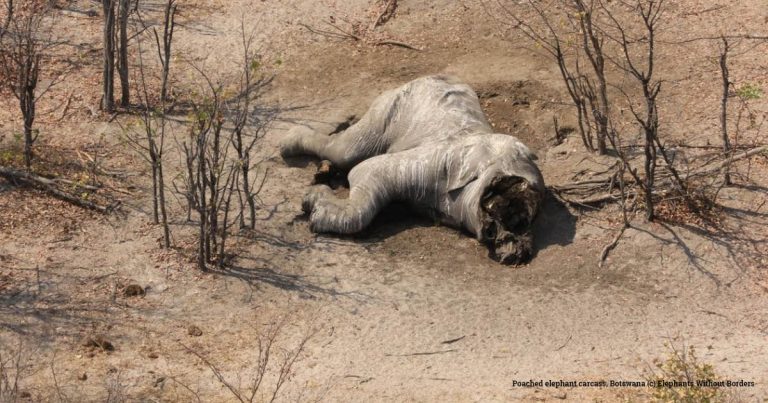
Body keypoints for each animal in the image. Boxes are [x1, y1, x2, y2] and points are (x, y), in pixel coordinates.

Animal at [282, 75, 544, 266]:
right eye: (504, 186)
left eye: (521, 220)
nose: (516, 252)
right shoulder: (435, 164)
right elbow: (364, 172)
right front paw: (311, 203)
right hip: (395, 105)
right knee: (345, 150)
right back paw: (288, 144)